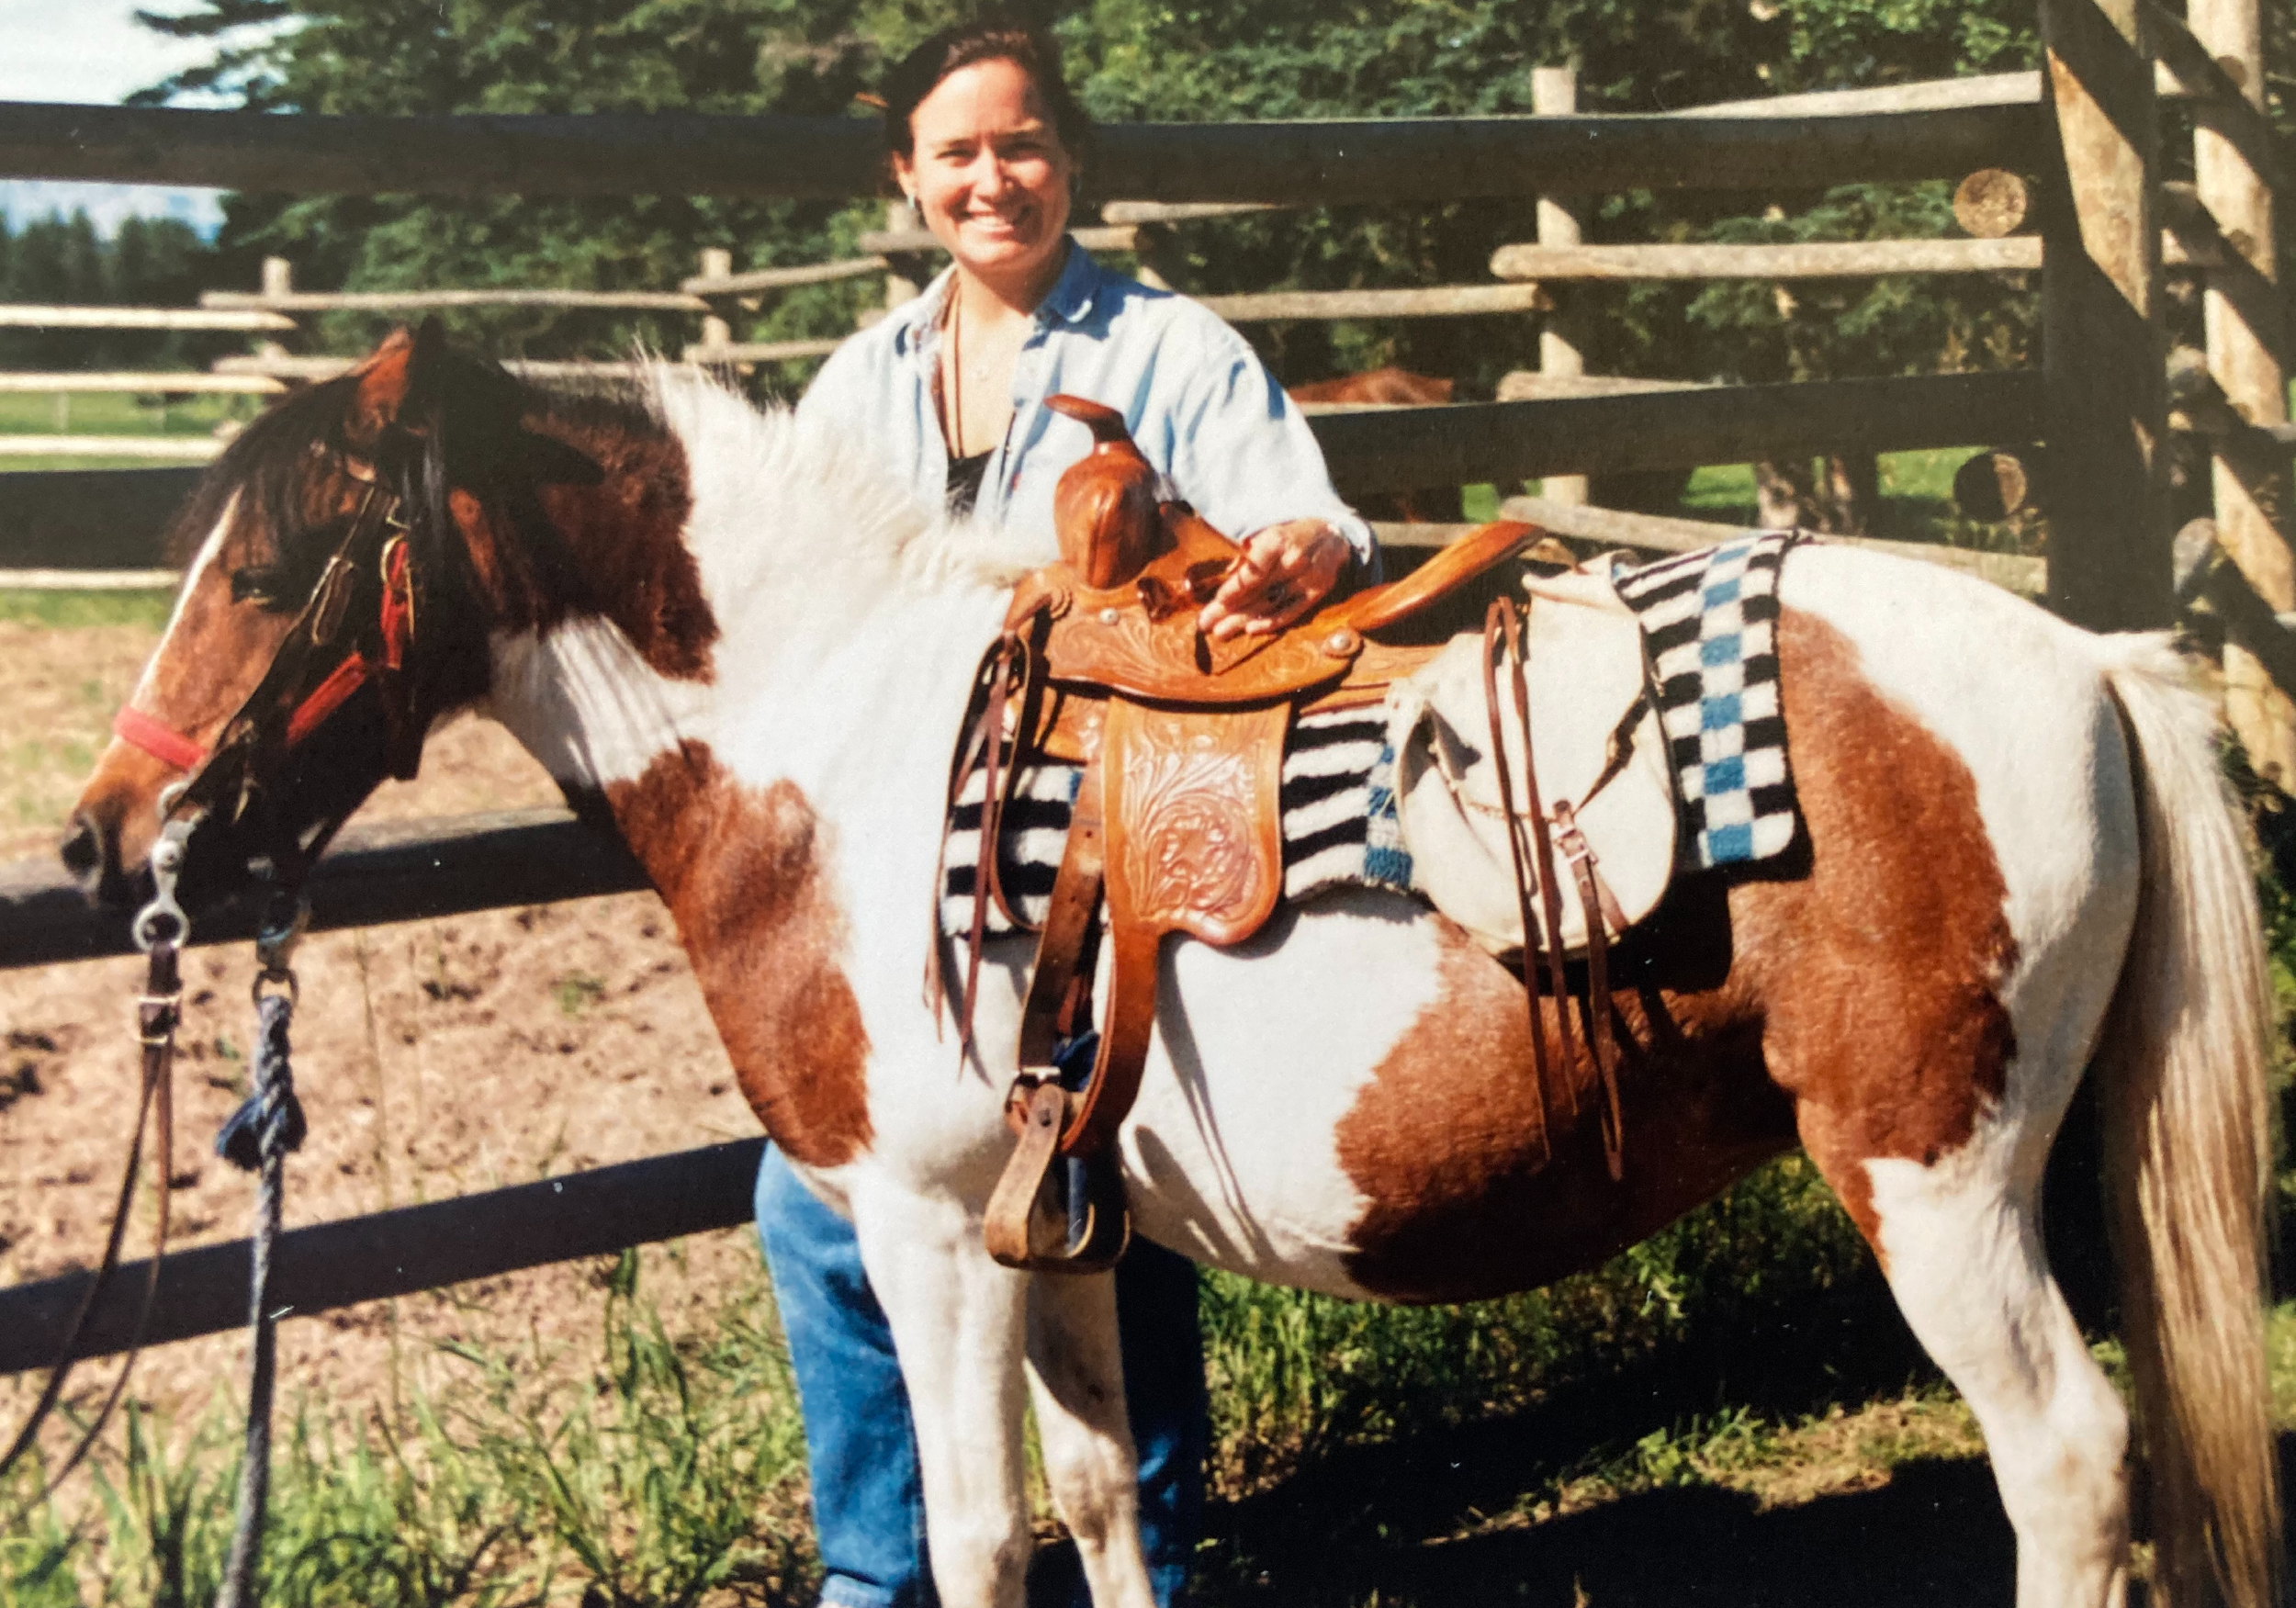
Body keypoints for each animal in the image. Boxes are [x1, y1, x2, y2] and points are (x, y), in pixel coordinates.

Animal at [64, 325, 2280, 1608]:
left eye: (266, 568)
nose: (101, 841)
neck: (833, 745)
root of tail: (2089, 659)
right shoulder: (1061, 1230)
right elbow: (1106, 1506)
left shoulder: (929, 1232)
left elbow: (976, 1538)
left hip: (1934, 1180)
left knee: (2067, 1465)